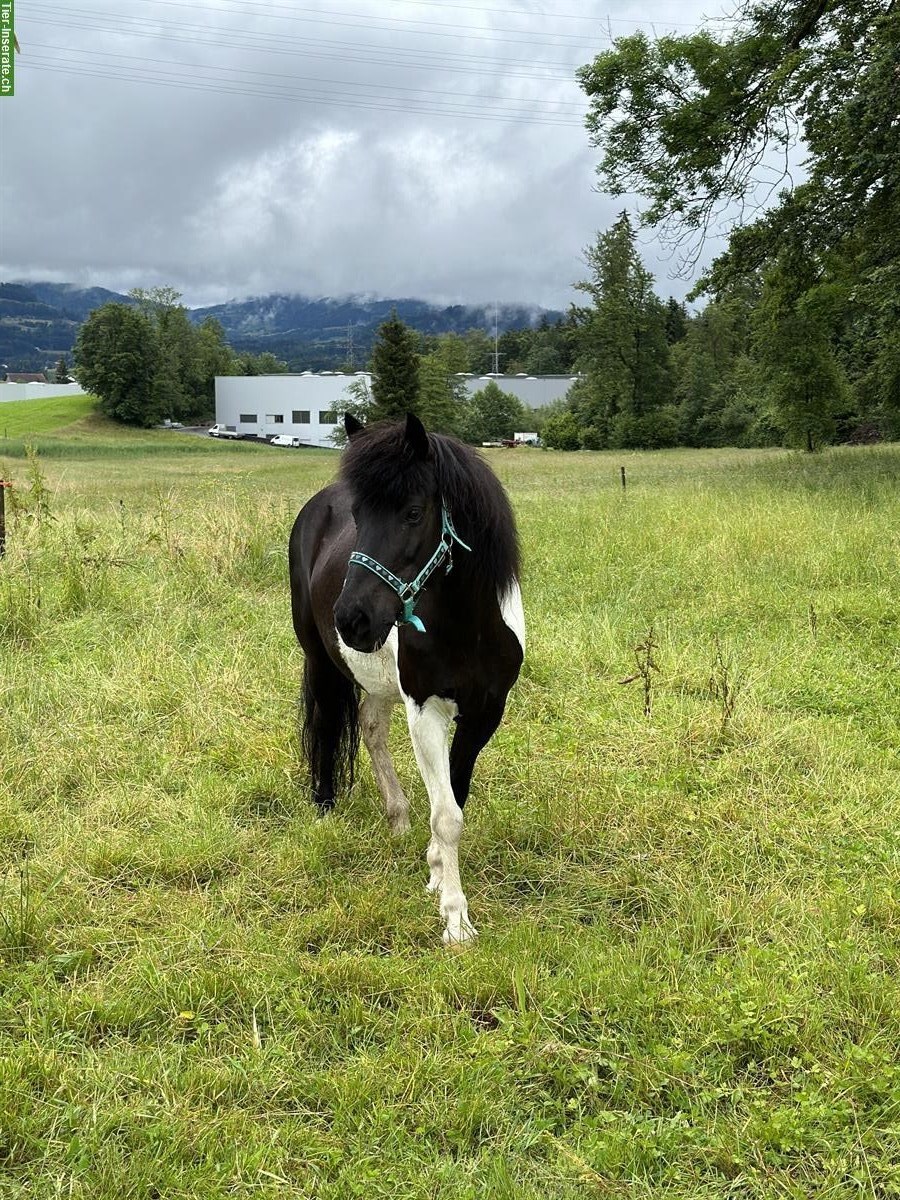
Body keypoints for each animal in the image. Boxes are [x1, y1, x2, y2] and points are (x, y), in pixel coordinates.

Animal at [289, 415, 528, 945]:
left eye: (414, 513)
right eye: (358, 515)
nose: (351, 620)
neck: (466, 628)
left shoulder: (484, 714)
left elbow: (453, 803)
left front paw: (436, 871)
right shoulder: (426, 710)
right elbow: (447, 815)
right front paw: (456, 919)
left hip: (377, 675)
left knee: (371, 726)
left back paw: (397, 820)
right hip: (319, 659)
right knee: (326, 724)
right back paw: (324, 808)